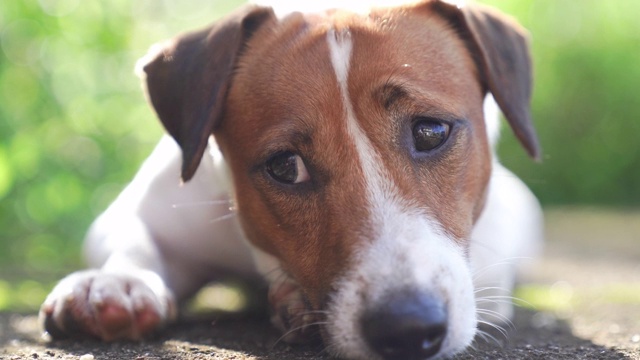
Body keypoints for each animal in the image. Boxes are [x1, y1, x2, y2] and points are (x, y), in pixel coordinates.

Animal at [40, 1, 544, 358]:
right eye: (286, 166)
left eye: (431, 131)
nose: (407, 328)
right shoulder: (150, 210)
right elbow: (132, 237)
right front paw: (118, 283)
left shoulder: (511, 209)